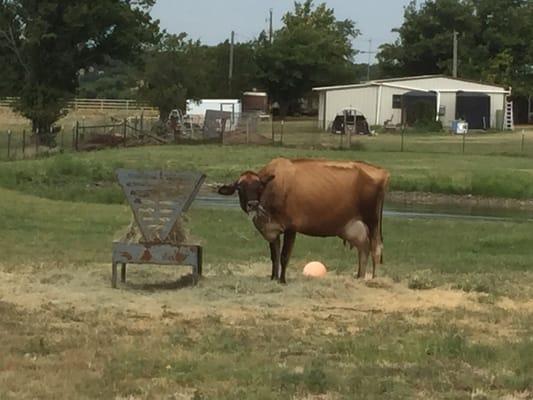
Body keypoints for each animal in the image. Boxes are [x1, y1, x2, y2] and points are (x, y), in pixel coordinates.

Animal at [217, 158, 390, 282]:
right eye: (240, 188)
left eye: (259, 186)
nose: (252, 204)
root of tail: (382, 171)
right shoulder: (273, 229)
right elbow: (274, 256)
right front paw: (273, 278)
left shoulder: (291, 227)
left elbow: (284, 256)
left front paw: (282, 281)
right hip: (352, 227)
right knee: (363, 248)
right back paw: (359, 277)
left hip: (372, 221)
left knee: (376, 248)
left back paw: (373, 280)